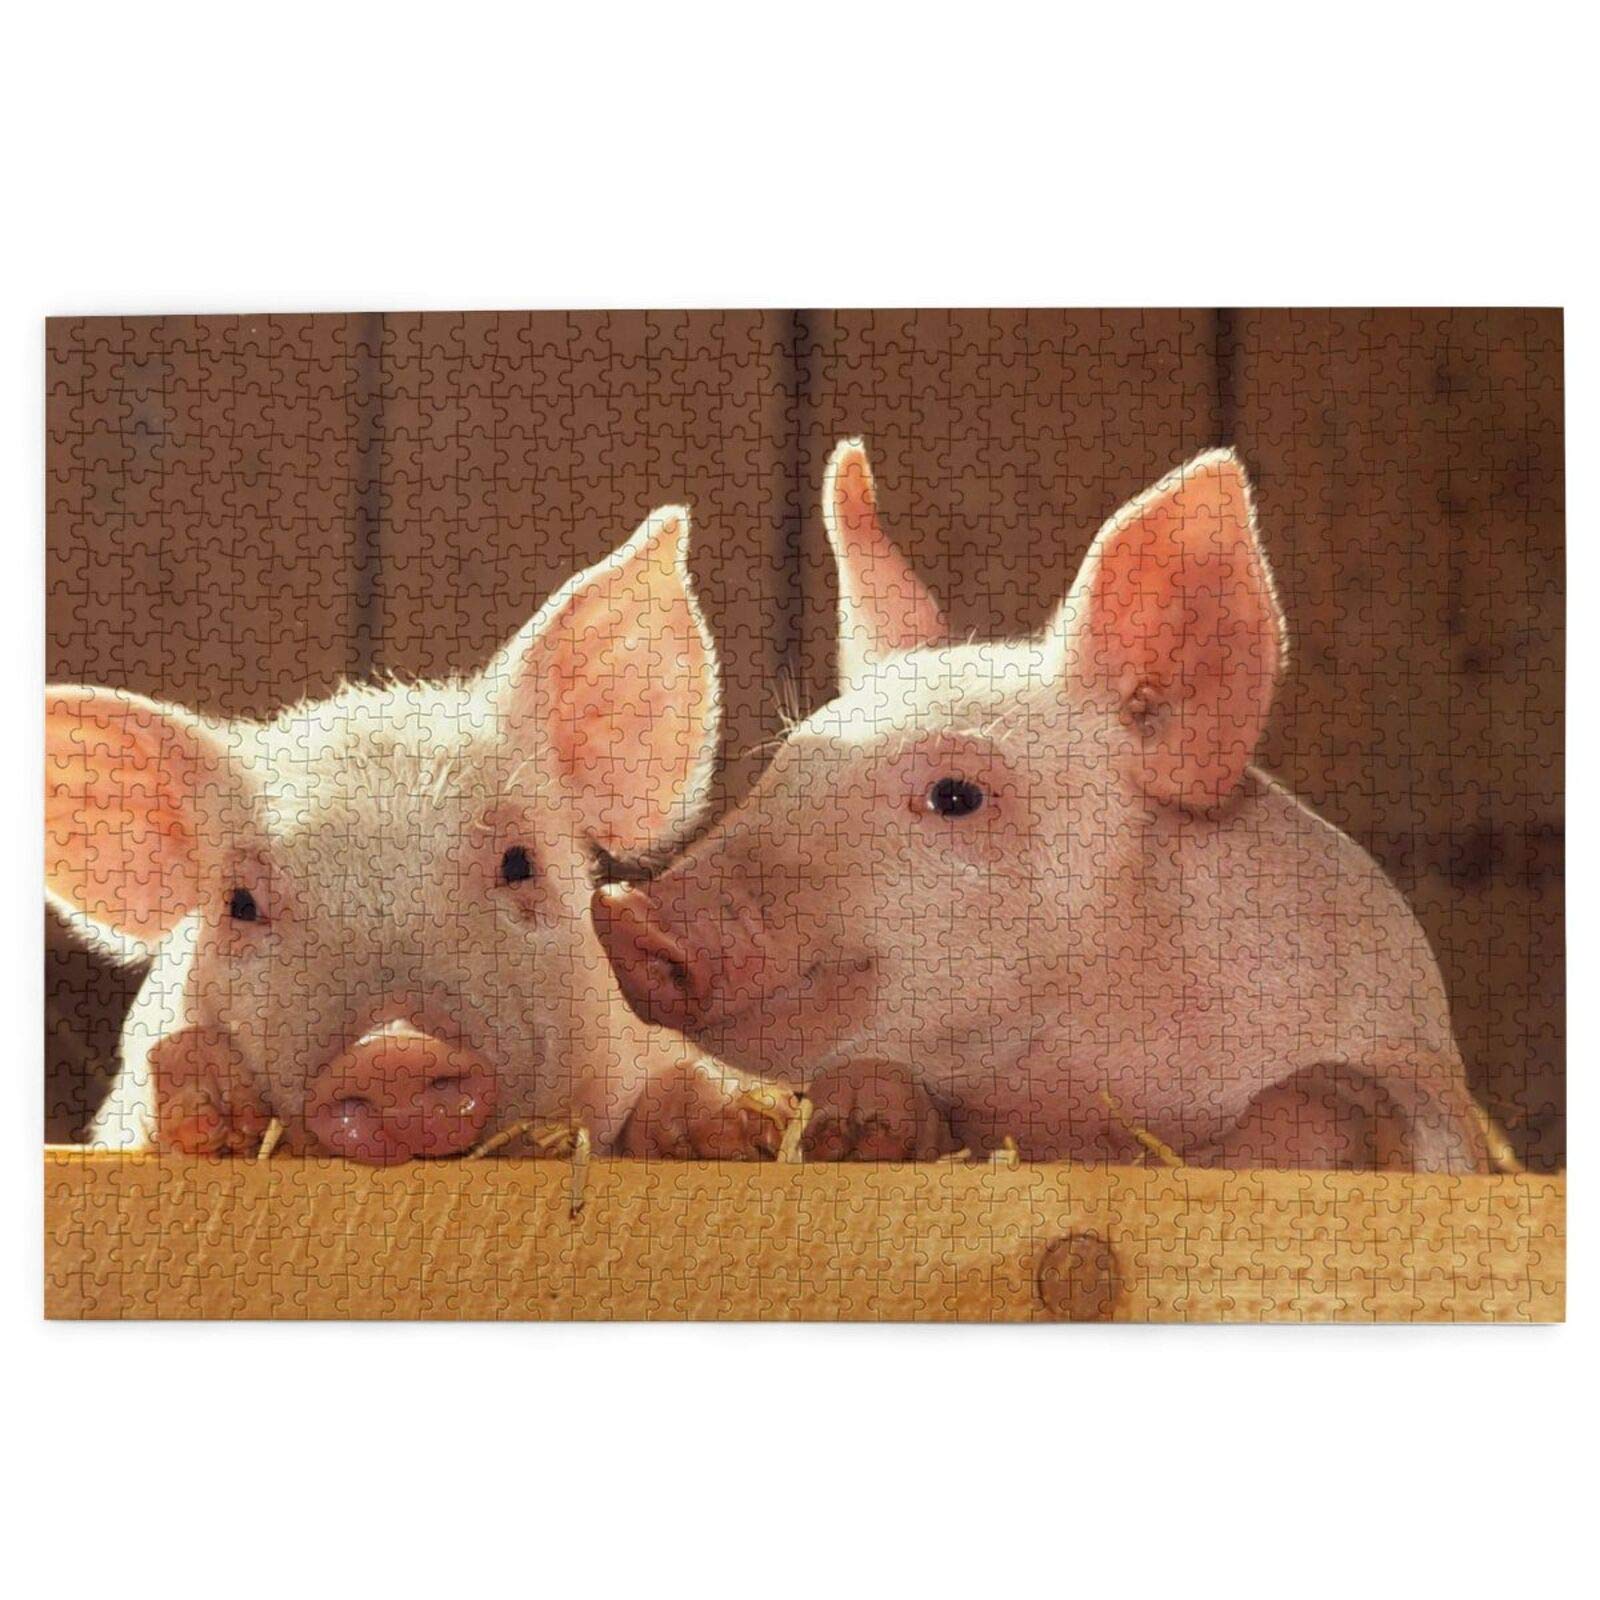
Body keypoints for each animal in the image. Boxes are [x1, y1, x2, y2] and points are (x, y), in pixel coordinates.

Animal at [594, 442, 1496, 1172]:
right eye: (789, 760)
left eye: (957, 795)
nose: (627, 910)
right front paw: (846, 1125)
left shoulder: (1422, 1078)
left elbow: (1332, 1096)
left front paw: (1217, 1161)